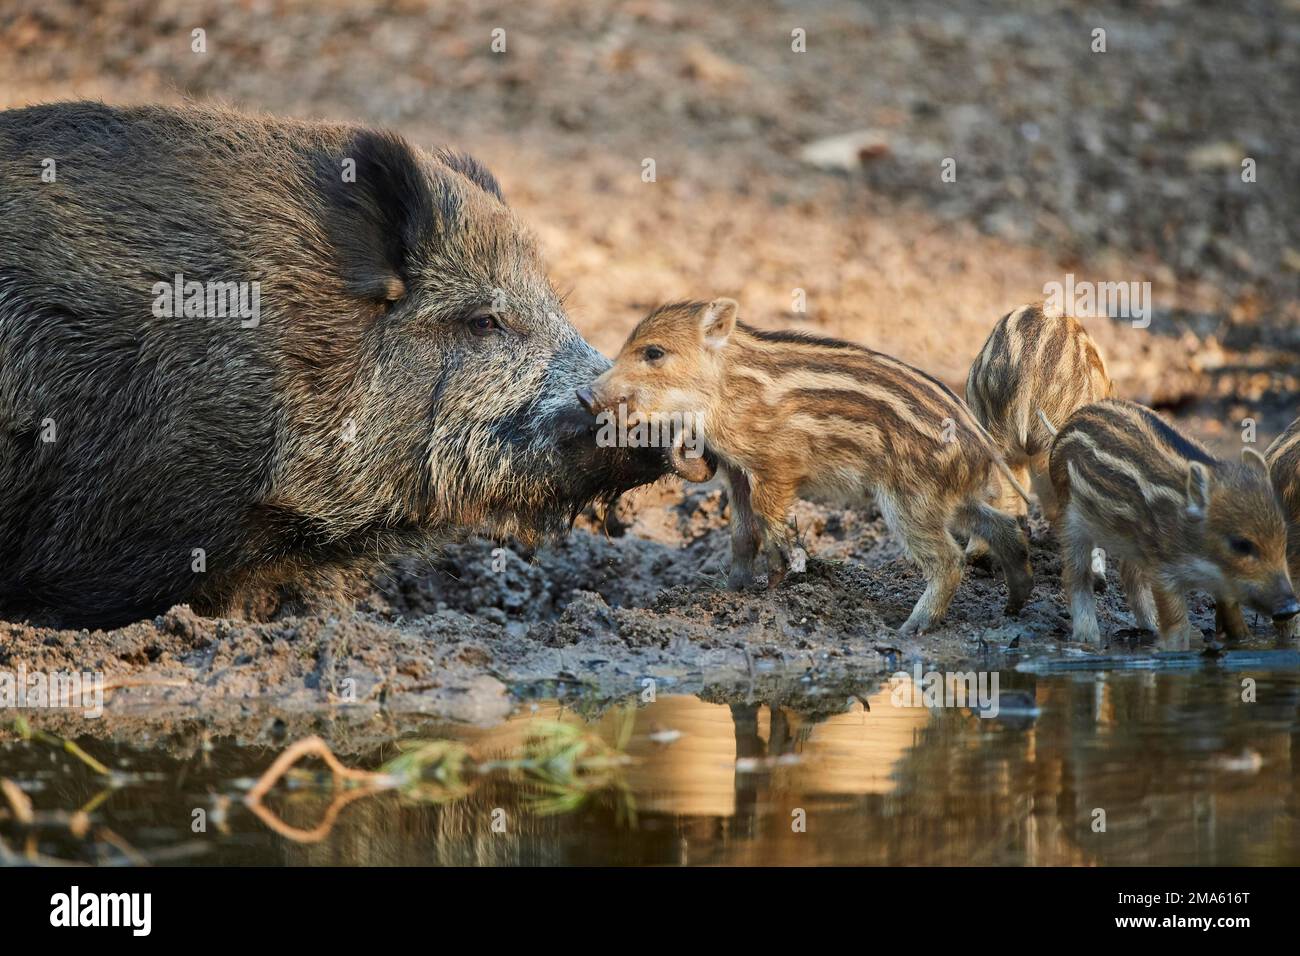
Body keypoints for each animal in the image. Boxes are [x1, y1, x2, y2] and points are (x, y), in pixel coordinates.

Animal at [577, 298, 1034, 636]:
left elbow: (768, 519)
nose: (585, 395)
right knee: (1001, 527)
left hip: (910, 500)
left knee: (948, 559)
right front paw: (733, 589)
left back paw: (911, 628)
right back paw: (1016, 602)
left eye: (654, 352)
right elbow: (742, 533)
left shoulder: (778, 467)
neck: (723, 390)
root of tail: (981, 444)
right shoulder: (737, 470)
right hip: (945, 498)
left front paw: (781, 580)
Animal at [1045, 399, 1298, 648]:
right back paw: (1088, 638)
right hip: (1070, 519)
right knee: (1076, 575)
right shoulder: (1164, 570)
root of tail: (1073, 419)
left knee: (1129, 572)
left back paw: (1149, 626)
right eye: (1241, 544)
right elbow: (1177, 627)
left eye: (1283, 540)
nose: (1291, 608)